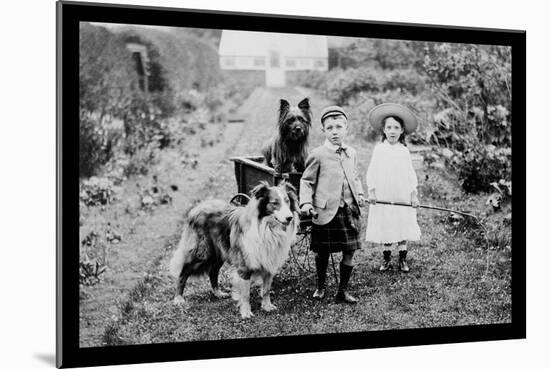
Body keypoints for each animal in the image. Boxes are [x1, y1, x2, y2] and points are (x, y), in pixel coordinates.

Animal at [168, 180, 300, 316]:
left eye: (287, 201)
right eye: (275, 203)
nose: (289, 217)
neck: (267, 227)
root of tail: (197, 207)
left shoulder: (269, 262)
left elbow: (266, 290)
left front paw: (267, 306)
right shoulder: (244, 265)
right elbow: (246, 294)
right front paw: (246, 312)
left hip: (218, 253)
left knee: (213, 272)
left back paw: (218, 293)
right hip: (202, 253)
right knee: (183, 272)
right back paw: (178, 298)